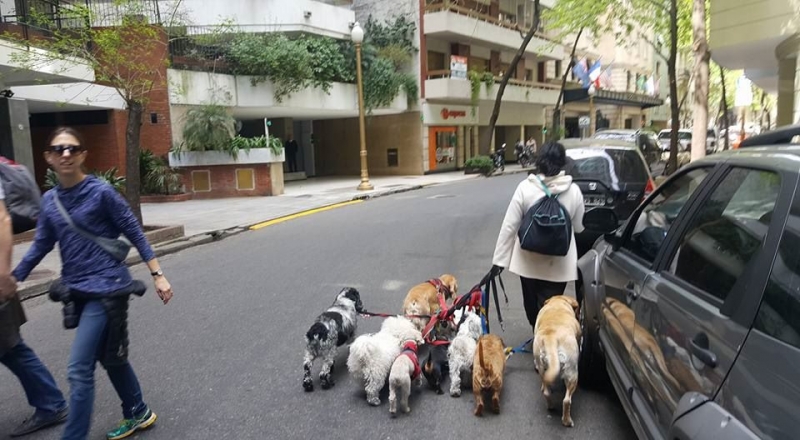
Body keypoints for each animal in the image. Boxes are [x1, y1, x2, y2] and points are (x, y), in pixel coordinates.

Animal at [536, 296, 580, 426]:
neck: (558, 302)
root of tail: (551, 337)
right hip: (572, 373)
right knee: (566, 400)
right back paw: (567, 421)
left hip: (541, 365)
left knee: (546, 392)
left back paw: (550, 405)